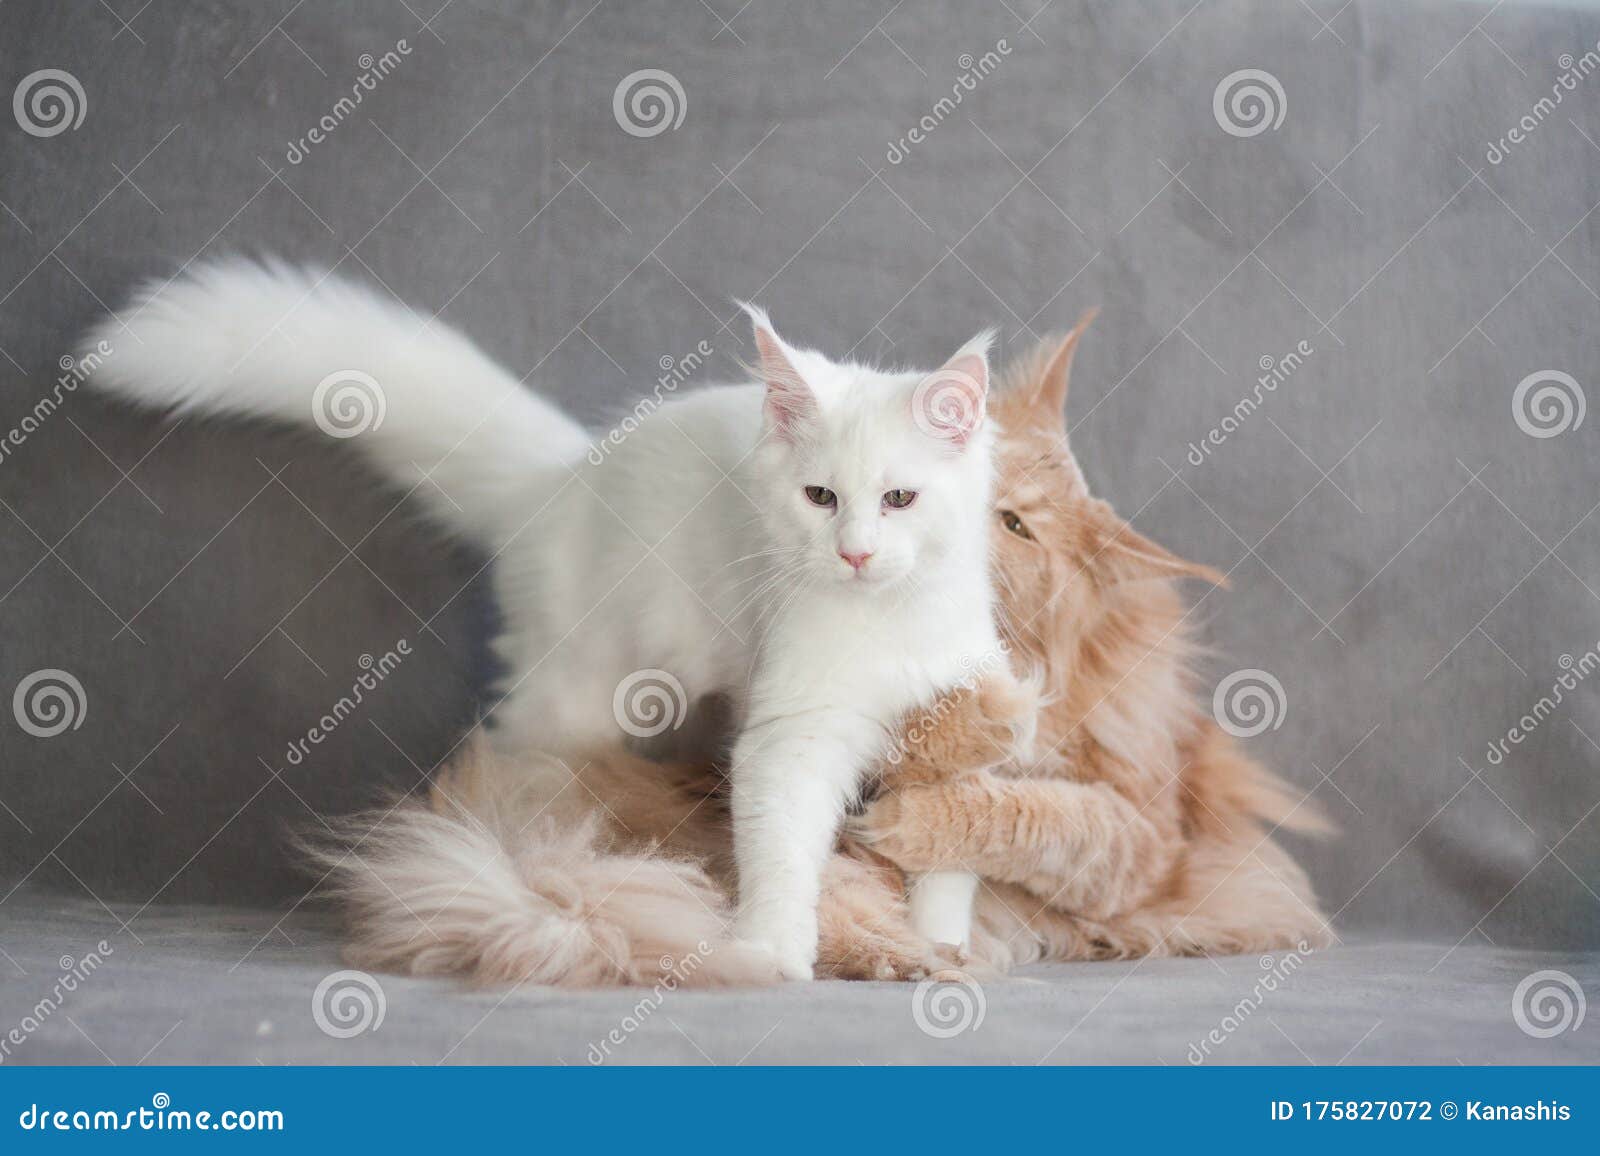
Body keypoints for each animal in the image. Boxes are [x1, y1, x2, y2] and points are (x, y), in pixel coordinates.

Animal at [87, 260, 992, 973]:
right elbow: (781, 847)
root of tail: (565, 474)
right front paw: (771, 949)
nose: (855, 554)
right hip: (574, 694)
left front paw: (942, 941)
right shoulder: (795, 729)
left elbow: (950, 851)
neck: (888, 621)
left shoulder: (965, 730)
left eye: (900, 499)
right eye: (821, 498)